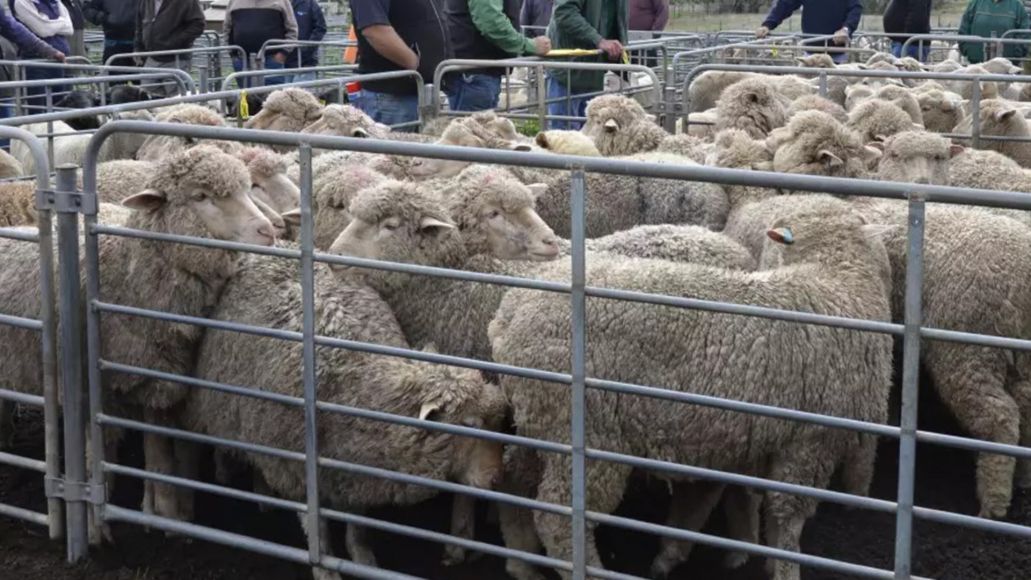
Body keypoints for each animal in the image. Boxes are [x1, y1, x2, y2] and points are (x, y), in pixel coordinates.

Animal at [0, 145, 277, 533]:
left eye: (246, 188)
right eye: (201, 196)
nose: (268, 230)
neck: (129, 270)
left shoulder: (158, 378)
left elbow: (157, 449)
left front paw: (162, 509)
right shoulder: (87, 379)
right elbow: (93, 448)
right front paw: (94, 523)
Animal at [185, 249, 508, 576]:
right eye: (469, 425)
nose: (496, 481)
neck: (356, 381)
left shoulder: (354, 467)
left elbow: (357, 525)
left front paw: (363, 558)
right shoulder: (299, 468)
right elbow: (317, 526)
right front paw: (325, 569)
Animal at [488, 208, 893, 580]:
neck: (837, 281)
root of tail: (508, 316)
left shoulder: (758, 442)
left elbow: (742, 502)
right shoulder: (811, 441)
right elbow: (787, 519)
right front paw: (784, 568)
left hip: (539, 420)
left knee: (516, 482)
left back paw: (522, 559)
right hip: (587, 432)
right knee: (559, 517)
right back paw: (589, 571)